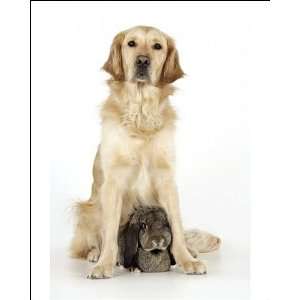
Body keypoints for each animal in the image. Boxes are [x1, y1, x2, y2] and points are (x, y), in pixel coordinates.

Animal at [70, 25, 220, 278]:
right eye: (131, 43)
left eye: (157, 46)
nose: (142, 61)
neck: (141, 114)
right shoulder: (113, 182)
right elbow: (110, 230)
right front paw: (105, 263)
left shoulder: (166, 179)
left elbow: (176, 225)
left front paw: (186, 259)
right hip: (87, 208)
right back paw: (94, 253)